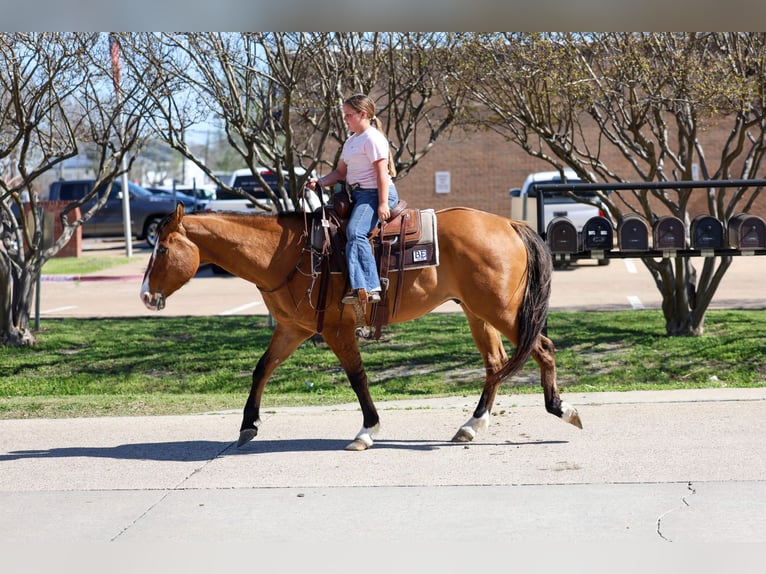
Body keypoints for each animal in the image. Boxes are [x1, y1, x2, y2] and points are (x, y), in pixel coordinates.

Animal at [140, 203, 582, 450]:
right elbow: (262, 368)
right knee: (495, 364)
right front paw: (248, 424)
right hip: (478, 313)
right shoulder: (293, 328)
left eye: (161, 249)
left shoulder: (335, 330)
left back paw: (562, 409)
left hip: (502, 311)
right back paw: (471, 426)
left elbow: (357, 378)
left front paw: (367, 430)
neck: (287, 255)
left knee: (542, 349)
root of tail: (509, 224)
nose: (145, 295)